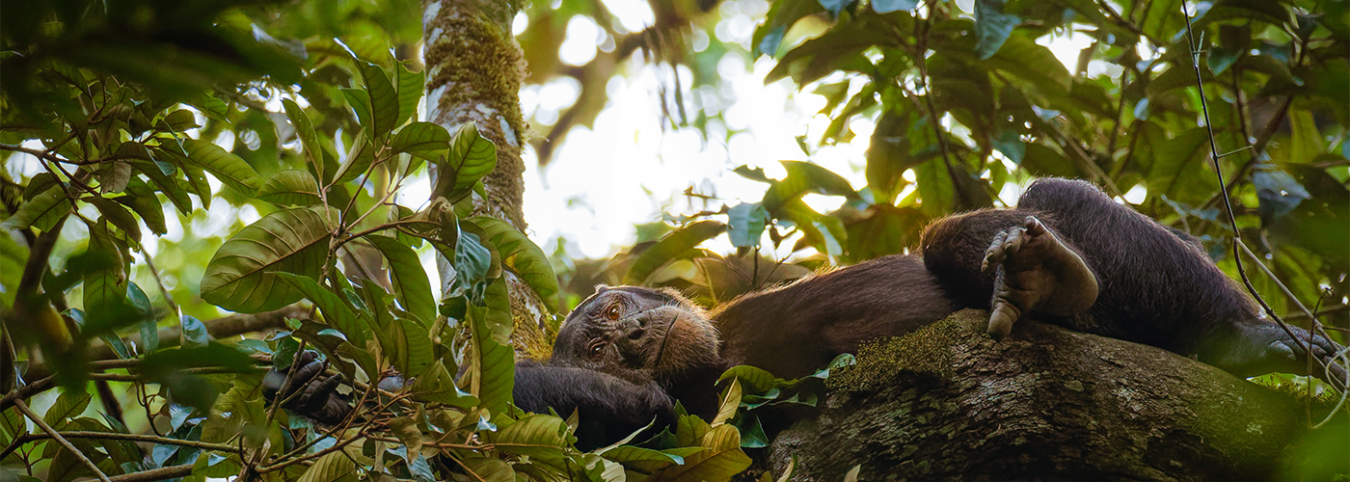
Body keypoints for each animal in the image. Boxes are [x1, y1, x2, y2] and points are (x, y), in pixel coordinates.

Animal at [267, 178, 1347, 449]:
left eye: (614, 305)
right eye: (598, 337)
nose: (627, 331)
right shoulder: (697, 401)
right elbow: (632, 411)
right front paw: (330, 391)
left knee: (1033, 209)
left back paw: (1245, 333)